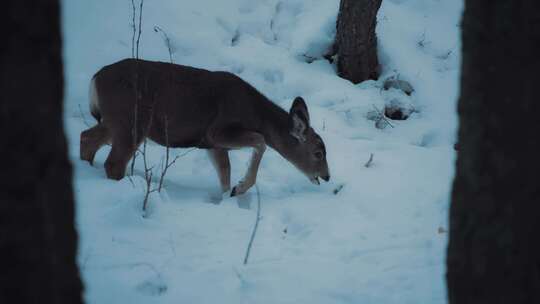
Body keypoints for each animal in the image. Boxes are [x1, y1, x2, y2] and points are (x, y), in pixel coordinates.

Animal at [80, 59, 332, 196]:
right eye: (318, 152)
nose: (327, 176)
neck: (255, 113)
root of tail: (94, 79)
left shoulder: (211, 144)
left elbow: (224, 173)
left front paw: (229, 194)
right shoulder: (217, 130)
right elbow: (261, 142)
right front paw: (241, 187)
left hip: (115, 120)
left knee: (87, 137)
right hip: (131, 121)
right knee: (113, 162)